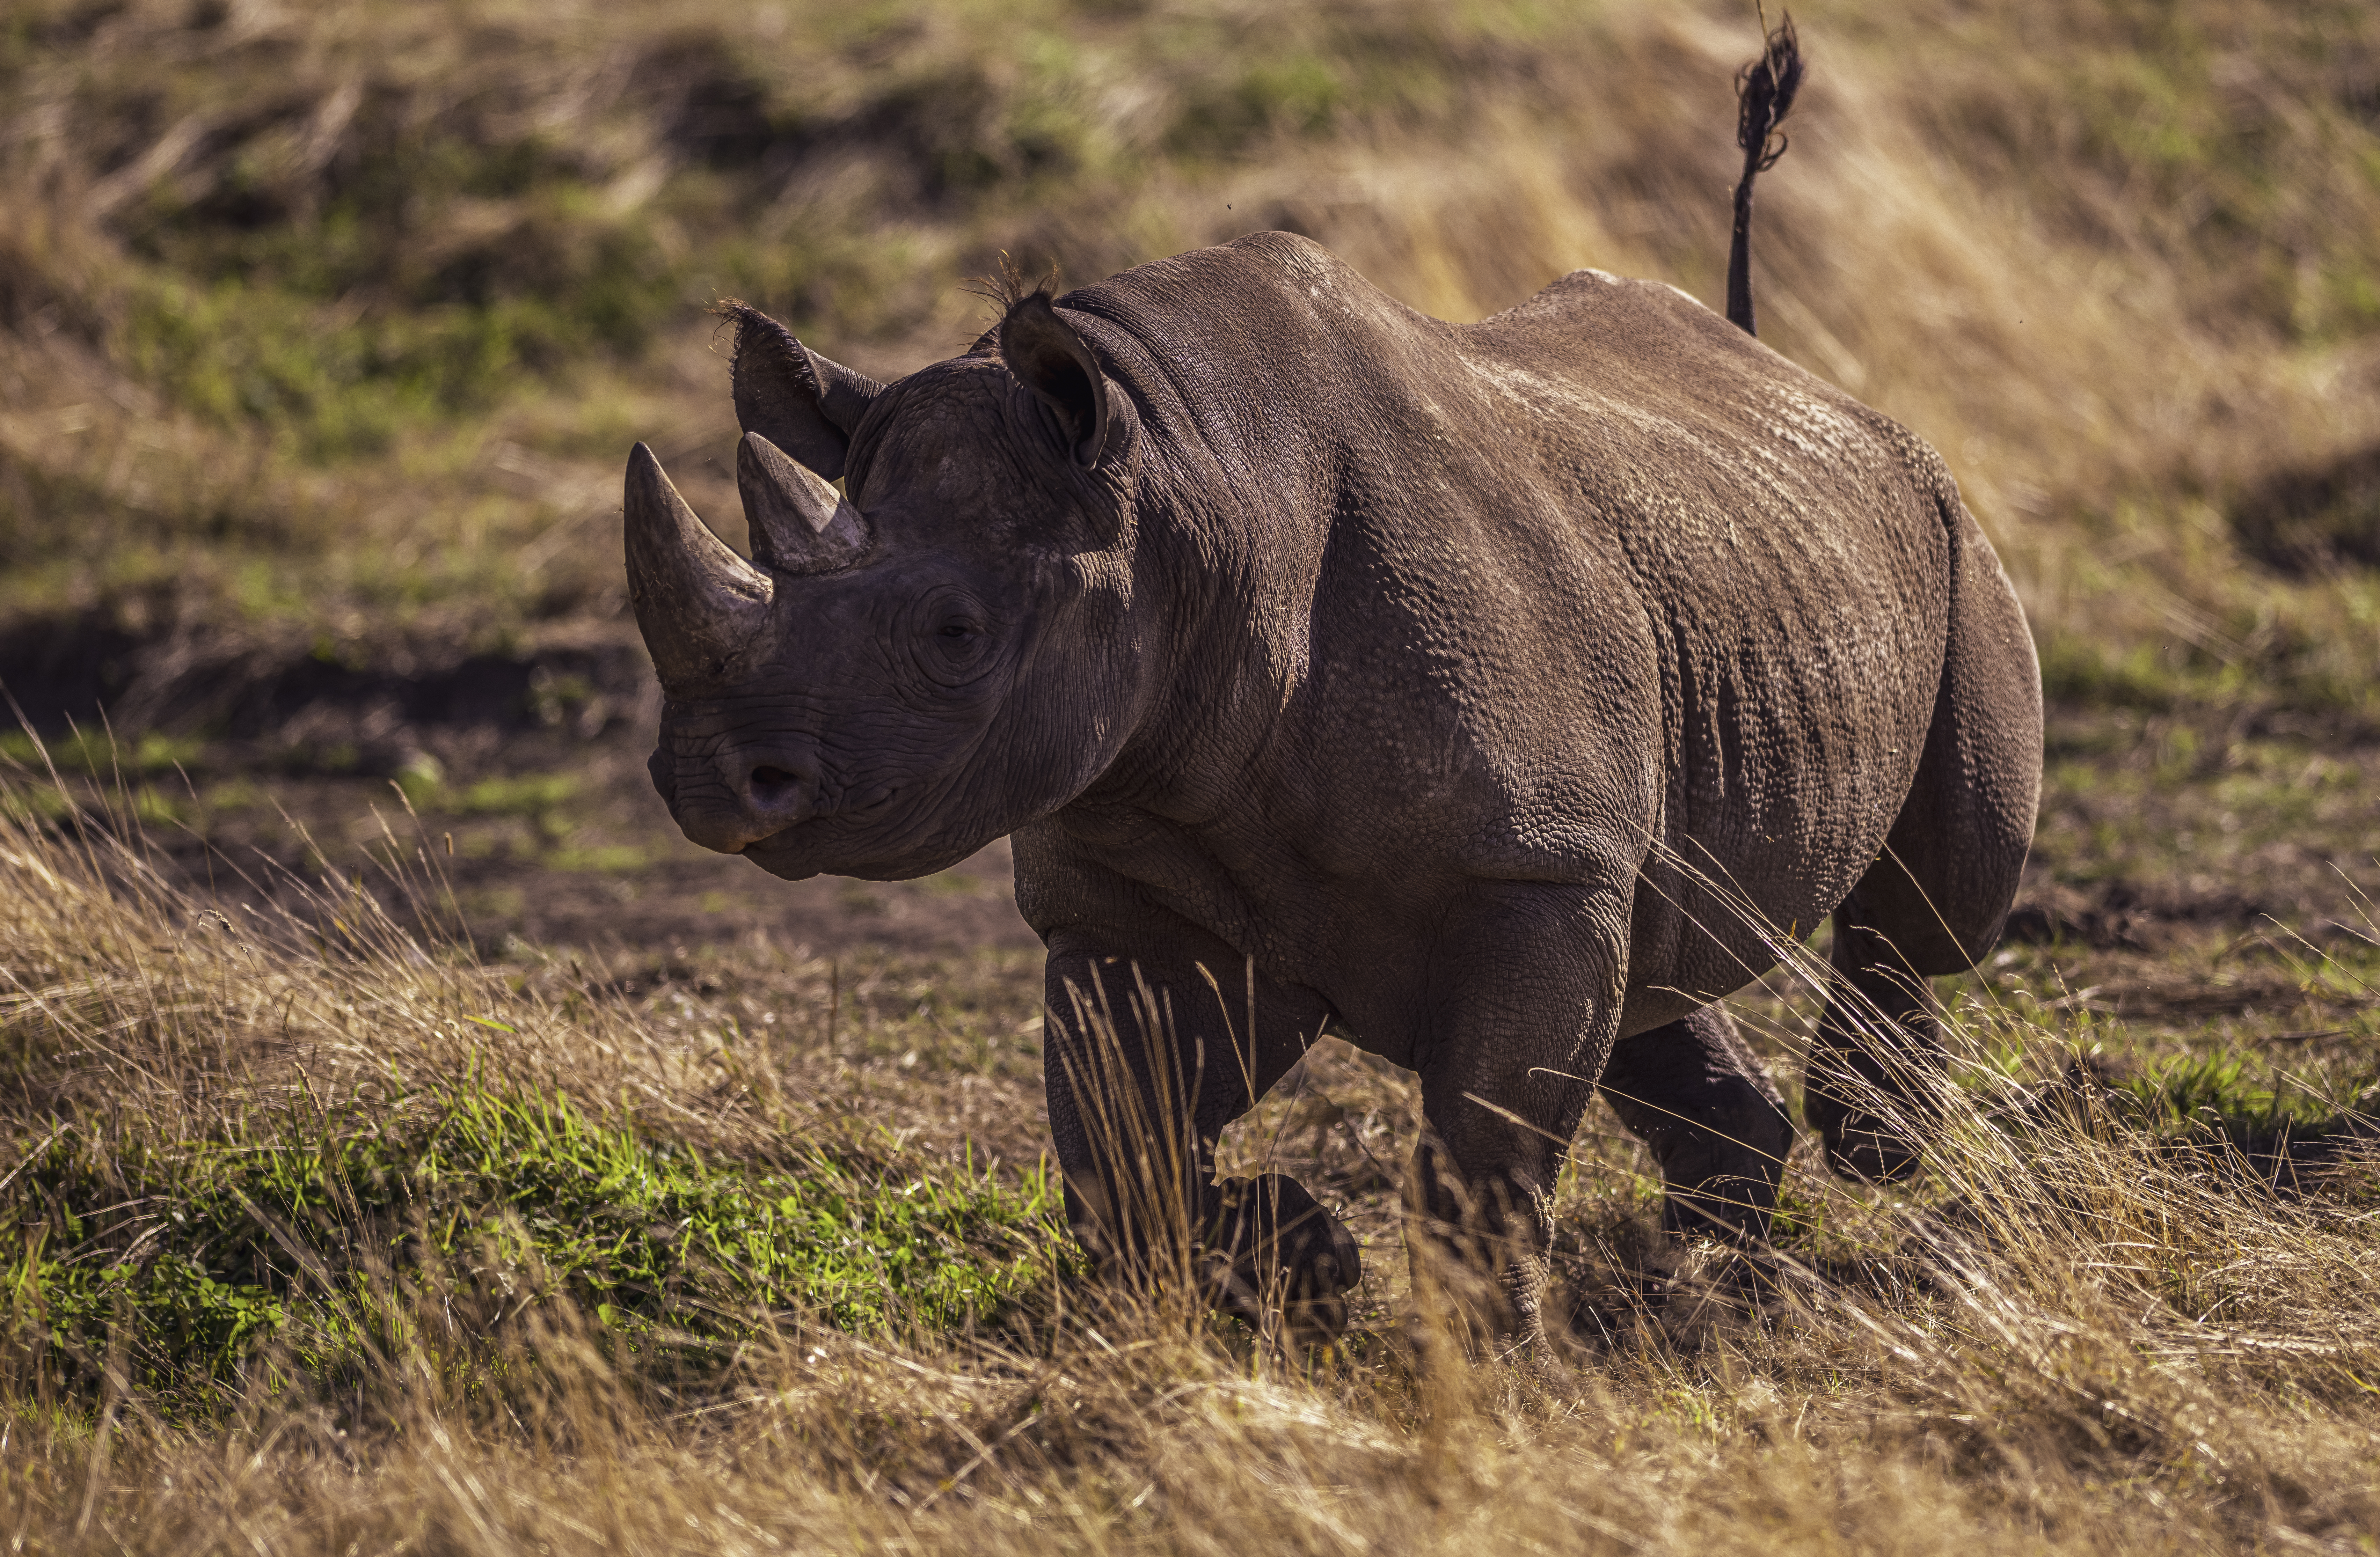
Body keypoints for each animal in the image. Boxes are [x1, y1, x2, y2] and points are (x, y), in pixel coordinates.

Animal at [625, 133, 2040, 1341]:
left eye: (955, 633)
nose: (707, 777)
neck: (1188, 493)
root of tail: (1787, 370)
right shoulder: (1134, 873)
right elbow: (1121, 1149)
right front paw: (1307, 1257)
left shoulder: (1527, 863)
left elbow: (1482, 1161)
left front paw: (1478, 1376)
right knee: (1655, 960)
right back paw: (1708, 1286)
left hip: (1945, 525)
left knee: (1938, 899)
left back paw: (1875, 1143)